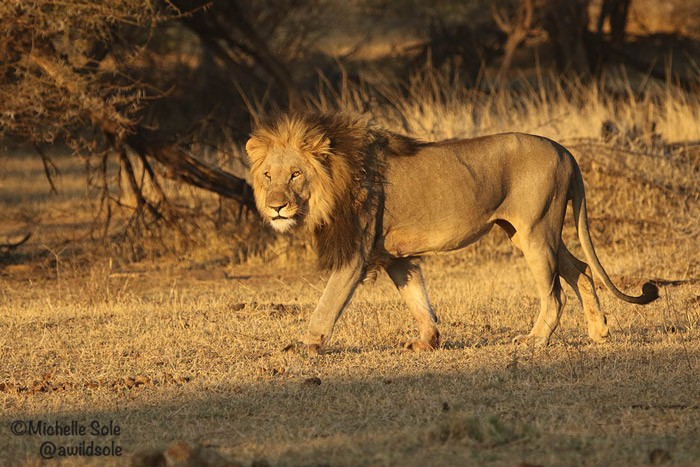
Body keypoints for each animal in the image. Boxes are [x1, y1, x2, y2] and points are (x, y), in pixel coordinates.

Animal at [245, 113, 656, 354]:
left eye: (295, 174)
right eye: (268, 176)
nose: (276, 206)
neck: (335, 178)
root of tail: (565, 151)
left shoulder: (356, 255)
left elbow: (326, 304)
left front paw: (305, 346)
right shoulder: (395, 255)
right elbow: (417, 298)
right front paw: (428, 341)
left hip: (537, 231)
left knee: (555, 294)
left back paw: (535, 340)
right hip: (531, 232)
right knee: (581, 269)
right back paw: (599, 332)